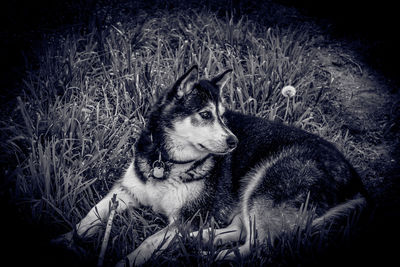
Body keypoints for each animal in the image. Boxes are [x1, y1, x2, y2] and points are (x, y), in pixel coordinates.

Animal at [57, 66, 368, 266]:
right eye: (206, 115)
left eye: (222, 116)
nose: (234, 141)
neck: (167, 161)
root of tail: (356, 183)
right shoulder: (125, 191)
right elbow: (89, 216)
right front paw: (65, 239)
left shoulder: (188, 216)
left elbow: (149, 242)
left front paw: (125, 262)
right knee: (241, 229)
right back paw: (198, 242)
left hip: (267, 183)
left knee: (257, 246)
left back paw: (213, 256)